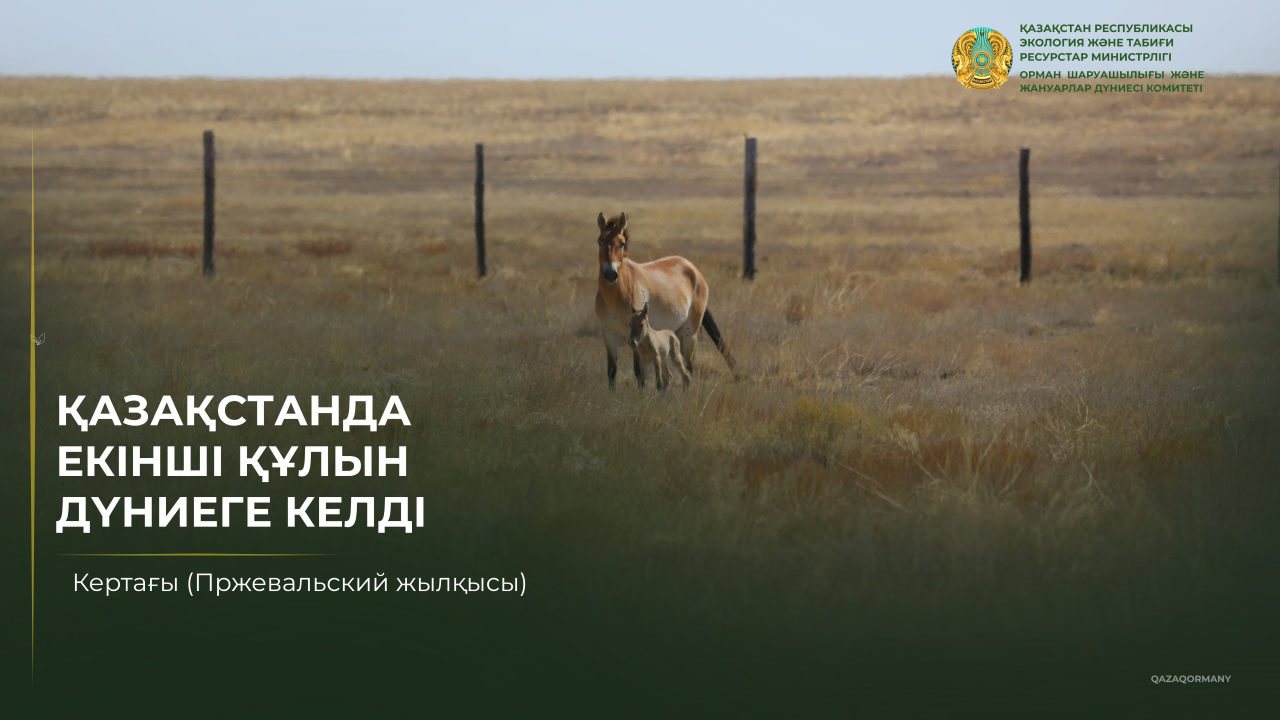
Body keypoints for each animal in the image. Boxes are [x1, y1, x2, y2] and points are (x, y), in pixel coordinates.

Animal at [593, 211, 736, 388]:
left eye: (622, 243)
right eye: (600, 241)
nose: (610, 274)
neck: (616, 295)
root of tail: (693, 269)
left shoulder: (635, 337)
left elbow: (639, 372)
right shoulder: (609, 336)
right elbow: (612, 372)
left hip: (690, 333)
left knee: (688, 366)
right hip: (675, 334)